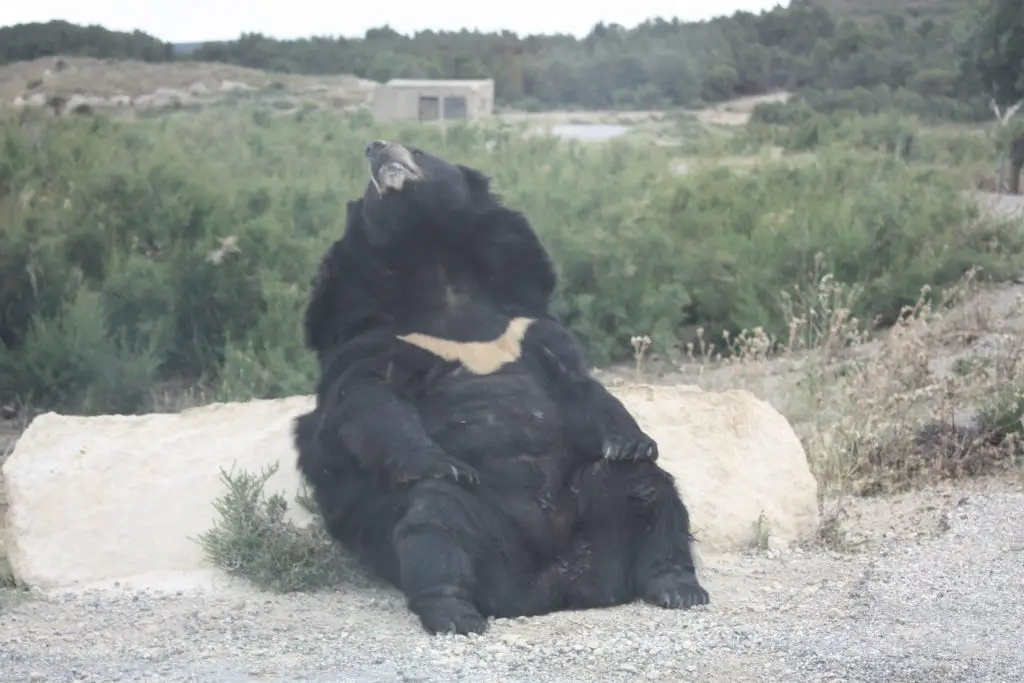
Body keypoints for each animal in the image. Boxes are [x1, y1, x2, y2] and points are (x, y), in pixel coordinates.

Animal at [294, 139, 712, 634]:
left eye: (418, 149)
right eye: (369, 175)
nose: (377, 148)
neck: (436, 263)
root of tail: (551, 585)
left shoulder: (528, 326)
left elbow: (579, 388)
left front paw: (632, 440)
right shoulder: (374, 335)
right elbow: (370, 399)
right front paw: (433, 457)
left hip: (593, 510)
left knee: (647, 491)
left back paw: (679, 586)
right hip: (477, 522)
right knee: (436, 519)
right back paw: (454, 612)